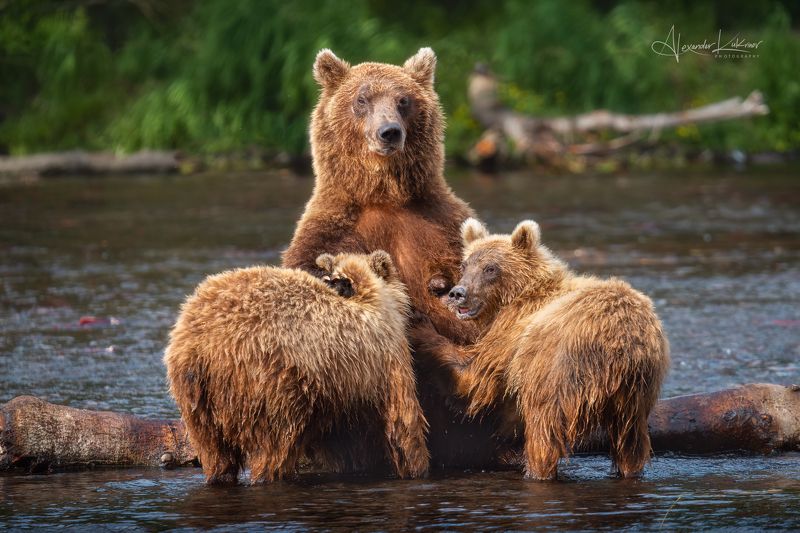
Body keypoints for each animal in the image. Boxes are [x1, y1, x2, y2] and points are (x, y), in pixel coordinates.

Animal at [164, 250, 429, 484]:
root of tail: (205, 350)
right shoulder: (382, 358)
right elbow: (403, 419)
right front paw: (417, 467)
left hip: (197, 402)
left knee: (215, 452)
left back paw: (220, 475)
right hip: (272, 384)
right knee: (275, 445)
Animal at [281, 48, 499, 467]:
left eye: (403, 100)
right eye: (361, 99)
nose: (389, 132)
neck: (385, 195)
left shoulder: (442, 223)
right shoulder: (332, 227)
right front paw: (339, 283)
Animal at [410, 218, 670, 480]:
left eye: (490, 268)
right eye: (465, 265)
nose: (458, 293)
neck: (520, 293)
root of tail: (621, 343)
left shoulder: (514, 329)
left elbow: (473, 378)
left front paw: (419, 323)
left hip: (557, 370)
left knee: (542, 429)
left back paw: (536, 470)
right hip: (637, 395)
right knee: (631, 441)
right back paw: (630, 470)